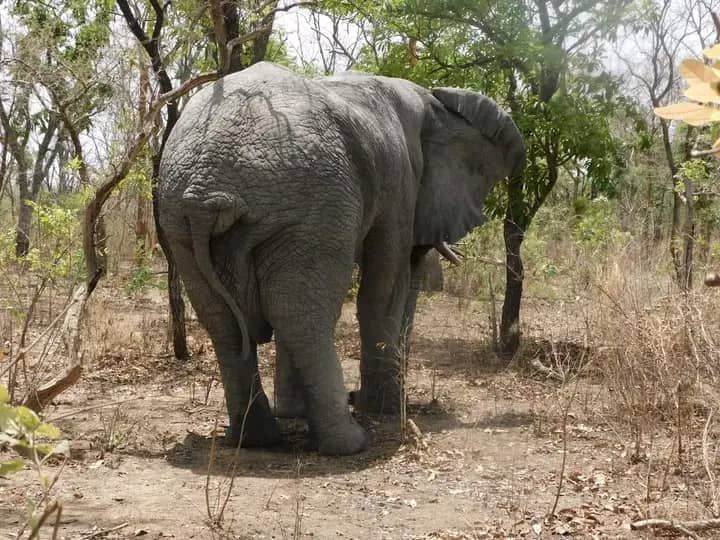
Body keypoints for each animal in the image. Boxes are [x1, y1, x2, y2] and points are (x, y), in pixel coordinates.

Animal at [157, 62, 526, 455]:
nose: (356, 396)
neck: (432, 104)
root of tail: (207, 190)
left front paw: (300, 412)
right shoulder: (400, 180)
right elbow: (384, 287)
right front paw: (383, 410)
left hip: (179, 222)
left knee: (225, 322)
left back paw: (256, 440)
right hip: (310, 204)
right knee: (302, 315)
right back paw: (351, 442)